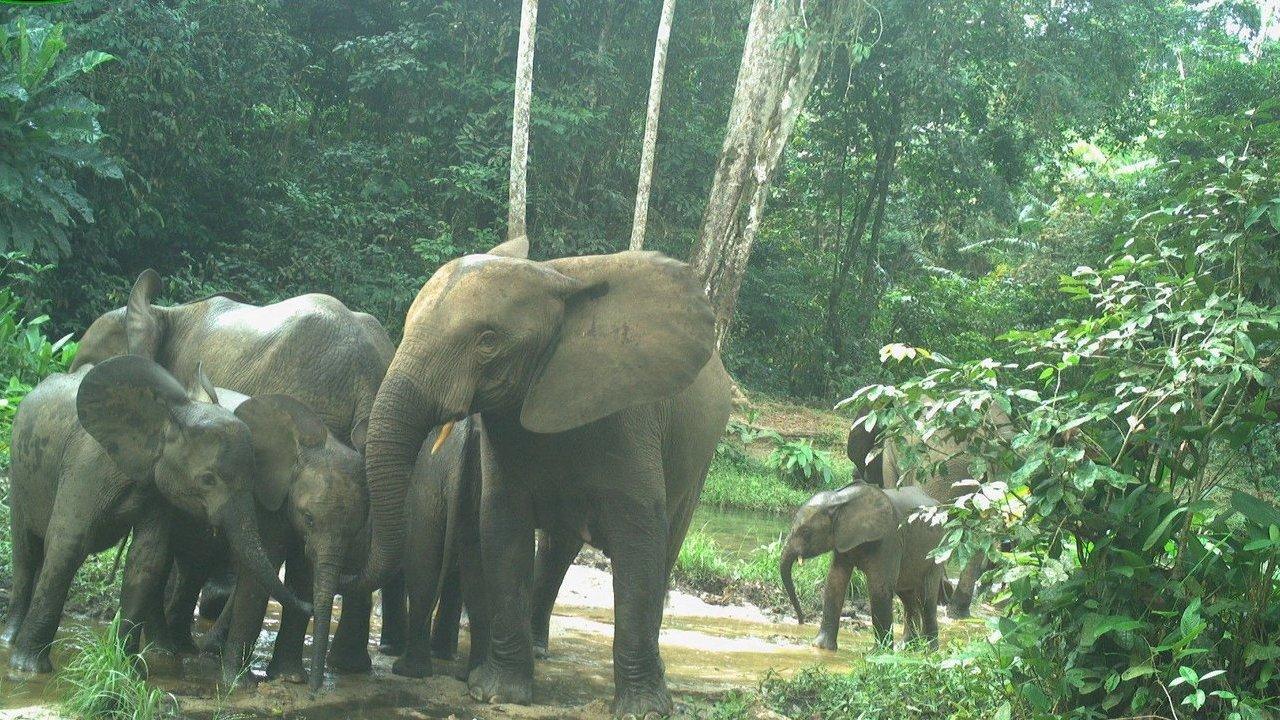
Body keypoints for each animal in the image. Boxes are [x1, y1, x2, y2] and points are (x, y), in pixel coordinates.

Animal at [2, 355, 308, 673]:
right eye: (207, 480)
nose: (307, 606)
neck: (170, 414)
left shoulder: (159, 486)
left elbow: (148, 558)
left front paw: (126, 669)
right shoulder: (86, 466)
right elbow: (68, 545)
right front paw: (28, 669)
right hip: (19, 472)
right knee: (26, 552)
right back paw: (10, 641)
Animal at [355, 238, 732, 718]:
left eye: (488, 342)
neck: (552, 280)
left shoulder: (630, 416)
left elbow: (640, 537)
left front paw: (644, 710)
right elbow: (503, 528)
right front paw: (496, 694)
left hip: (700, 456)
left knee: (664, 547)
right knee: (557, 547)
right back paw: (537, 650)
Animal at [779, 482, 945, 651]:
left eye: (805, 531)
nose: (801, 621)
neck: (839, 500)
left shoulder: (889, 538)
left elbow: (879, 587)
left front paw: (878, 652)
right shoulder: (843, 540)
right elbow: (835, 581)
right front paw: (821, 647)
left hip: (938, 550)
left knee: (927, 597)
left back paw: (930, 650)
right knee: (907, 596)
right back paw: (905, 647)